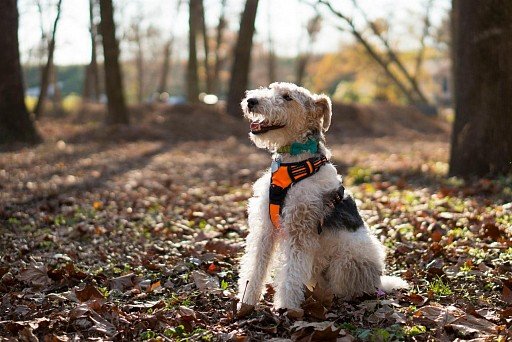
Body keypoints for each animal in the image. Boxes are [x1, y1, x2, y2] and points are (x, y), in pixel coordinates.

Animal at [236, 81, 408, 310]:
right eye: (271, 88)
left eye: (288, 97)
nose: (251, 101)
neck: (295, 163)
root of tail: (379, 281)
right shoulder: (265, 228)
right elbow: (255, 266)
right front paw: (246, 301)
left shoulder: (300, 230)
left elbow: (291, 273)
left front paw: (285, 307)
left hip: (348, 260)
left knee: (347, 289)